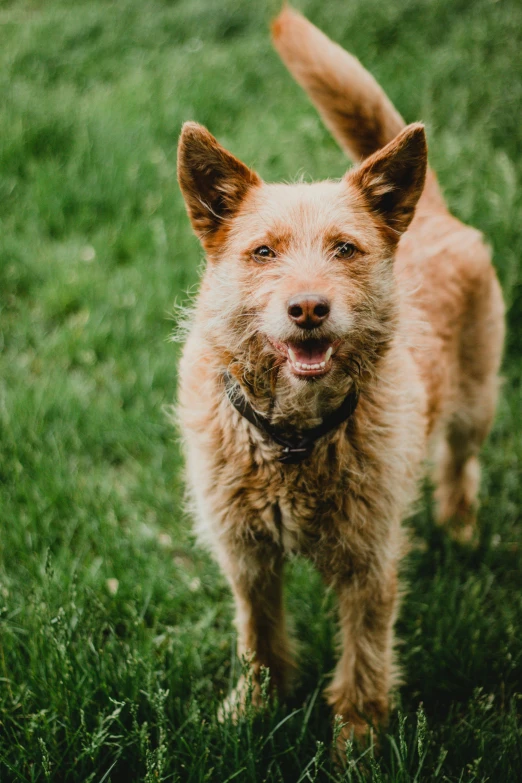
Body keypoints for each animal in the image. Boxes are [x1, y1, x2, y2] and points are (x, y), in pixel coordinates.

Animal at [176, 4, 504, 740]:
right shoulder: (246, 556)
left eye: (345, 249)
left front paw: (356, 740)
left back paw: (462, 529)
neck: (294, 442)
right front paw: (254, 707)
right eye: (263, 251)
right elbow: (259, 637)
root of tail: (430, 212)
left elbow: (364, 658)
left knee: (461, 467)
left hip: (475, 407)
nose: (308, 307)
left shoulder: (369, 561)